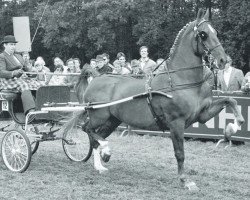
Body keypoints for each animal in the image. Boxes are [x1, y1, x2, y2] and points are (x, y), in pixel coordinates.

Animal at [64, 9, 244, 191]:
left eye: (216, 32)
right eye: (203, 34)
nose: (223, 60)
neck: (181, 80)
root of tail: (97, 78)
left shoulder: (202, 115)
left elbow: (231, 100)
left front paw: (232, 128)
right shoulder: (176, 123)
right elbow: (180, 153)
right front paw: (185, 180)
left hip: (113, 119)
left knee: (96, 137)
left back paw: (100, 164)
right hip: (98, 116)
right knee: (87, 129)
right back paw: (105, 151)